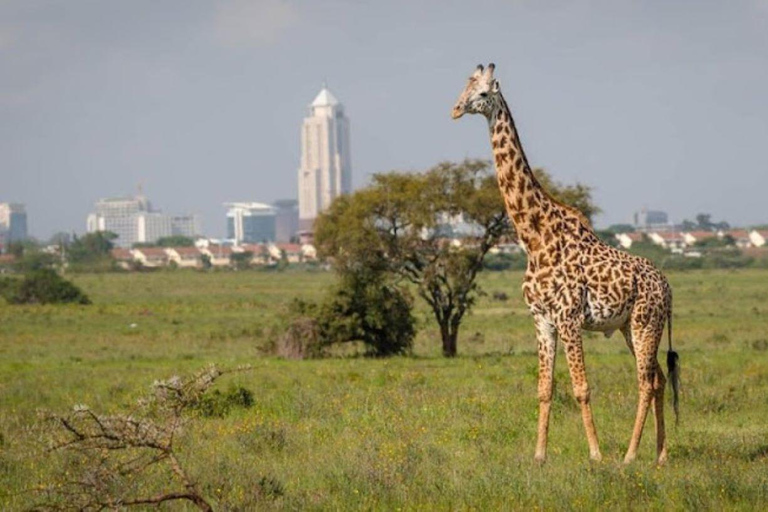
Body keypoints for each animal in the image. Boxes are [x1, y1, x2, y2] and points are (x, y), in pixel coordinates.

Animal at [450, 63, 680, 464]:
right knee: (658, 379)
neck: (534, 237)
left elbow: (581, 388)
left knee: (645, 382)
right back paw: (660, 455)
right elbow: (545, 388)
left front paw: (596, 455)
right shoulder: (541, 318)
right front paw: (539, 455)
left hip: (645, 322)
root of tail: (667, 287)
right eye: (465, 87)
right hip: (628, 326)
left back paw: (629, 455)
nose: (456, 109)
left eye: (482, 93)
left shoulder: (569, 317)